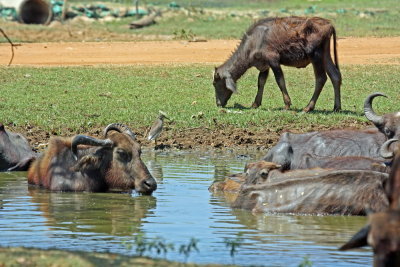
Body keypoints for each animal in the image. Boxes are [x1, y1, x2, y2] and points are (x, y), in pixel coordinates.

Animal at [214, 15, 342, 112]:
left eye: (216, 84)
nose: (218, 103)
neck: (255, 40)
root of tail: (329, 25)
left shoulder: (273, 60)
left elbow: (280, 80)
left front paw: (287, 104)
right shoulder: (264, 65)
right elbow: (261, 82)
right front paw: (255, 103)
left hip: (316, 55)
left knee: (321, 78)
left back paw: (308, 107)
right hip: (326, 55)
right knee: (335, 76)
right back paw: (337, 107)